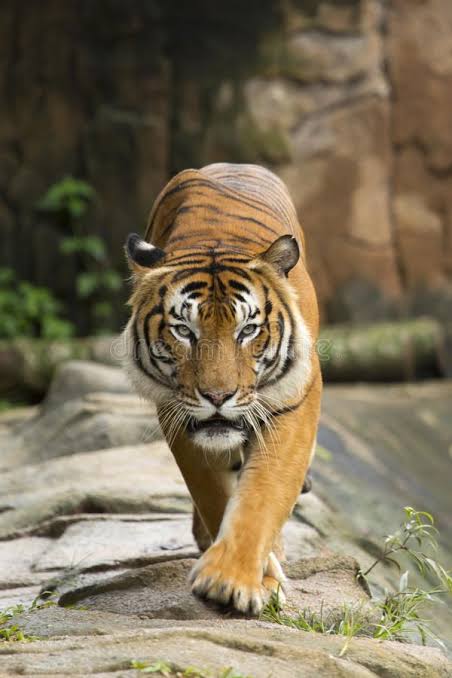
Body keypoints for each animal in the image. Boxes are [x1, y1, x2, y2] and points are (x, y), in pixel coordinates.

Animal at [122, 162, 322, 614]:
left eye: (247, 330)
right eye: (183, 330)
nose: (217, 397)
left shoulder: (293, 402)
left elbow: (263, 493)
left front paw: (230, 580)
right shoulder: (178, 413)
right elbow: (213, 492)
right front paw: (253, 575)